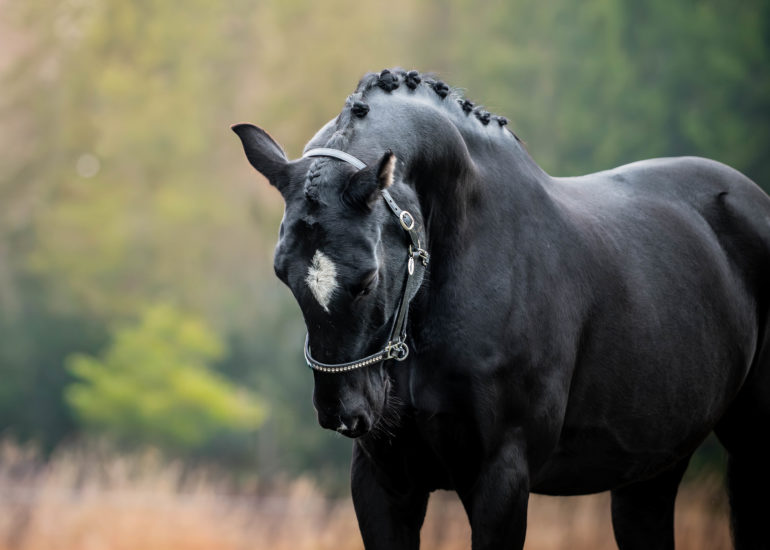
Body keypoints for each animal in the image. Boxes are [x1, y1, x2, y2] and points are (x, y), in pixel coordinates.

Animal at [232, 68, 770, 549]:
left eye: (367, 279)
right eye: (283, 273)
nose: (344, 413)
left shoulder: (501, 479)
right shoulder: (384, 482)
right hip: (649, 472)